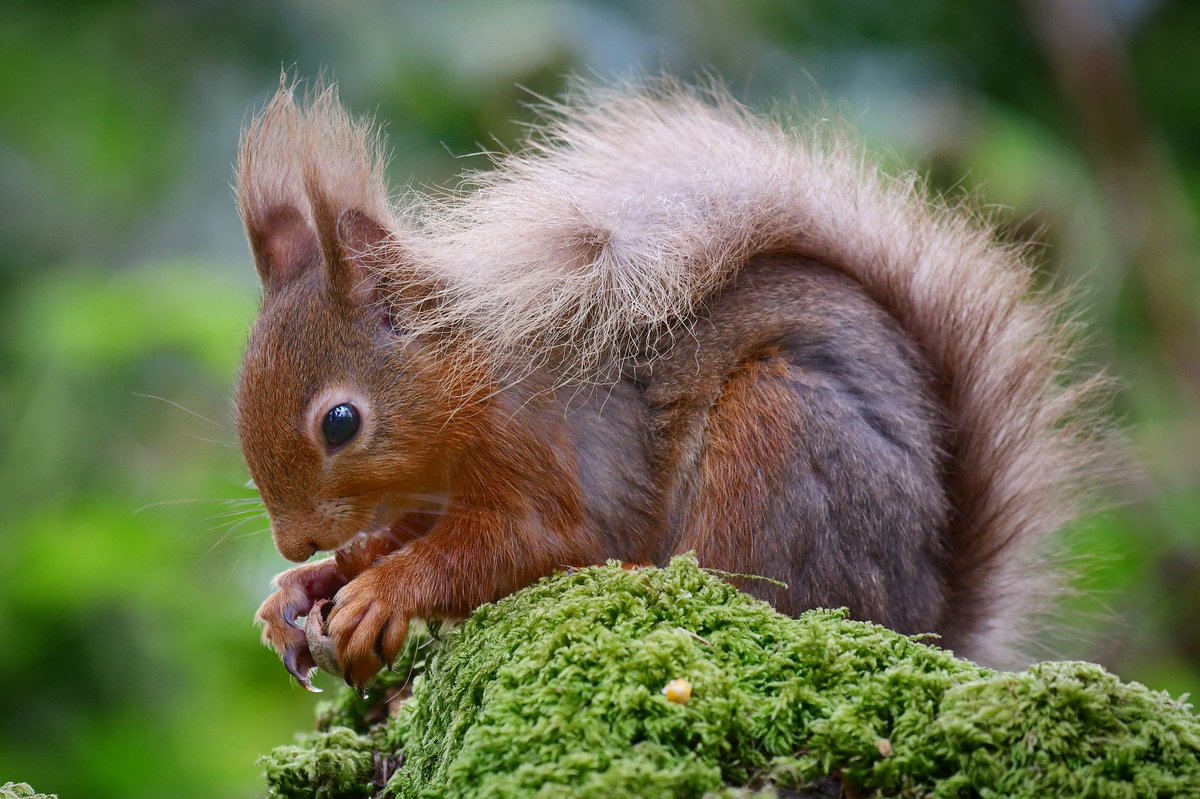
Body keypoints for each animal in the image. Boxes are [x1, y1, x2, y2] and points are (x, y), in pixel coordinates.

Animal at [238, 82, 1108, 691]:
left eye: (340, 421)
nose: (292, 539)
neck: (465, 379)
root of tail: (922, 620)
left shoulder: (542, 445)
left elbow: (530, 541)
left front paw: (385, 593)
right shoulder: (434, 492)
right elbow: (402, 532)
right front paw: (306, 587)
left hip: (780, 437)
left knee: (747, 590)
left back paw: (643, 578)